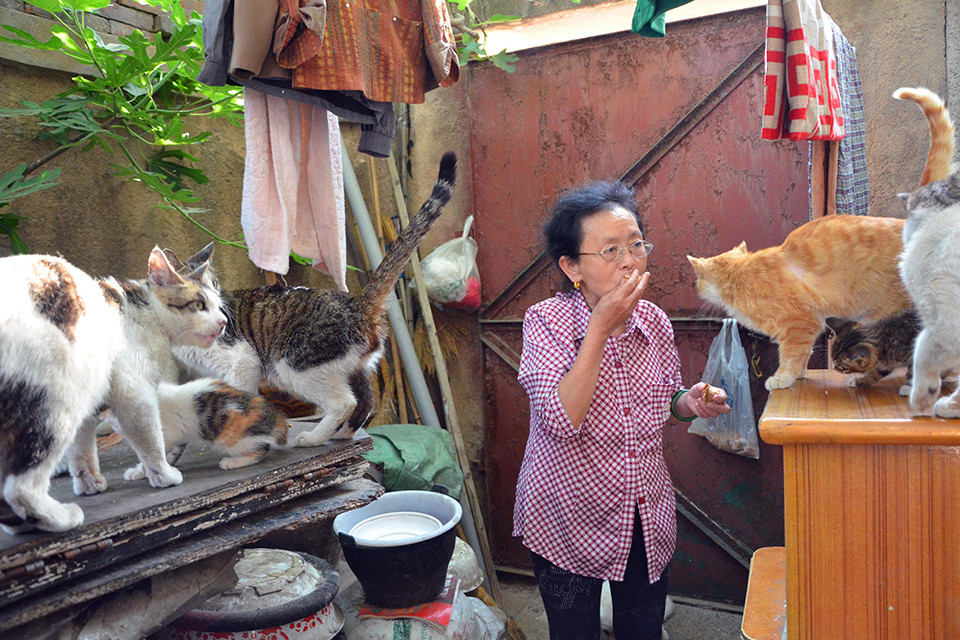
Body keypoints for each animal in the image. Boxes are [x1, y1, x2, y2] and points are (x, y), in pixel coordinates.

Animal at [0, 248, 226, 532]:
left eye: (218, 302)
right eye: (199, 305)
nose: (224, 322)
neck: (143, 313)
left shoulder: (91, 404)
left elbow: (82, 450)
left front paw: (89, 484)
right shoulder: (135, 394)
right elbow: (151, 440)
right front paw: (162, 475)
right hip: (54, 401)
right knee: (19, 486)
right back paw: (58, 518)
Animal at [103, 378, 288, 472]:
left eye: (118, 425)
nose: (116, 433)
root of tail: (276, 415)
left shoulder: (168, 433)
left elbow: (156, 455)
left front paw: (140, 471)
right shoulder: (179, 435)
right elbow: (172, 453)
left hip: (230, 437)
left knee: (261, 449)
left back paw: (232, 462)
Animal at [174, 152, 460, 448]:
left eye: (214, 285)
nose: (217, 307)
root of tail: (357, 302)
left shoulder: (243, 364)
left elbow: (242, 398)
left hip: (293, 363)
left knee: (344, 402)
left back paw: (313, 438)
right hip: (350, 367)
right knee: (366, 399)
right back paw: (343, 434)